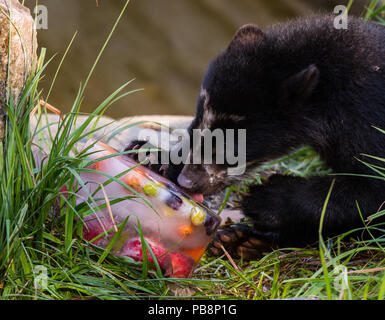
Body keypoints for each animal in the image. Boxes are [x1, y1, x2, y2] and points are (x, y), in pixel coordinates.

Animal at [126, 15, 384, 258]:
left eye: (230, 147)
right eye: (197, 122)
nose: (186, 181)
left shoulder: (365, 118)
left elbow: (371, 189)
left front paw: (264, 198)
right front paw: (152, 157)